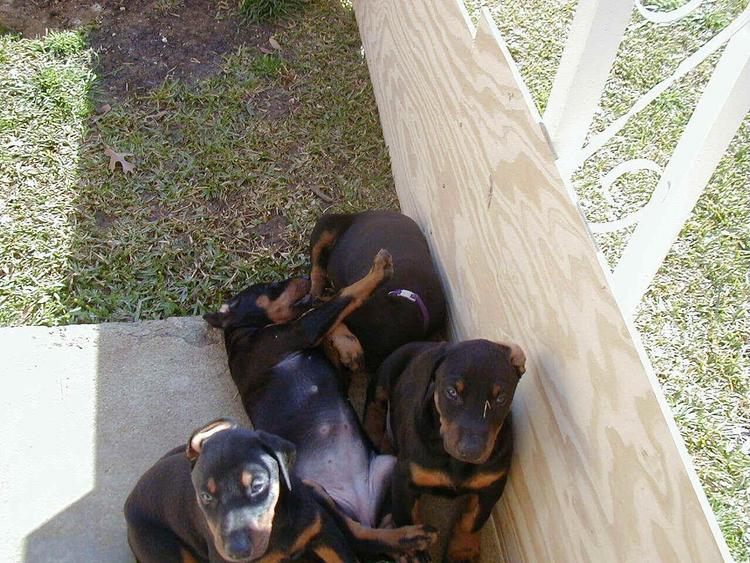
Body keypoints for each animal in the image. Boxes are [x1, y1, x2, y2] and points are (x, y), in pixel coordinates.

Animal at [125, 420, 432, 560]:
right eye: (206, 496)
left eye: (257, 485)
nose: (237, 552)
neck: (278, 526)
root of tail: (130, 501)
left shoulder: (323, 533)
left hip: (313, 490)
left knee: (354, 531)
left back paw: (408, 539)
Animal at [204, 252, 440, 563]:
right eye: (271, 286)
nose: (306, 278)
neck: (246, 331)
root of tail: (362, 509)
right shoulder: (298, 332)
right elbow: (342, 298)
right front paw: (378, 272)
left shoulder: (334, 366)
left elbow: (332, 317)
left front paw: (348, 344)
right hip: (312, 490)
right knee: (356, 536)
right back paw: (409, 539)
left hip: (387, 465)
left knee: (376, 523)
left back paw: (406, 544)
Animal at [366, 342, 528, 560]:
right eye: (452, 392)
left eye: (501, 398)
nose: (471, 450)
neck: (455, 462)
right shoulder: (404, 478)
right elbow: (406, 517)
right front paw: (414, 551)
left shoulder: (492, 485)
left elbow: (474, 520)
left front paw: (462, 552)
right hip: (386, 374)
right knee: (374, 407)